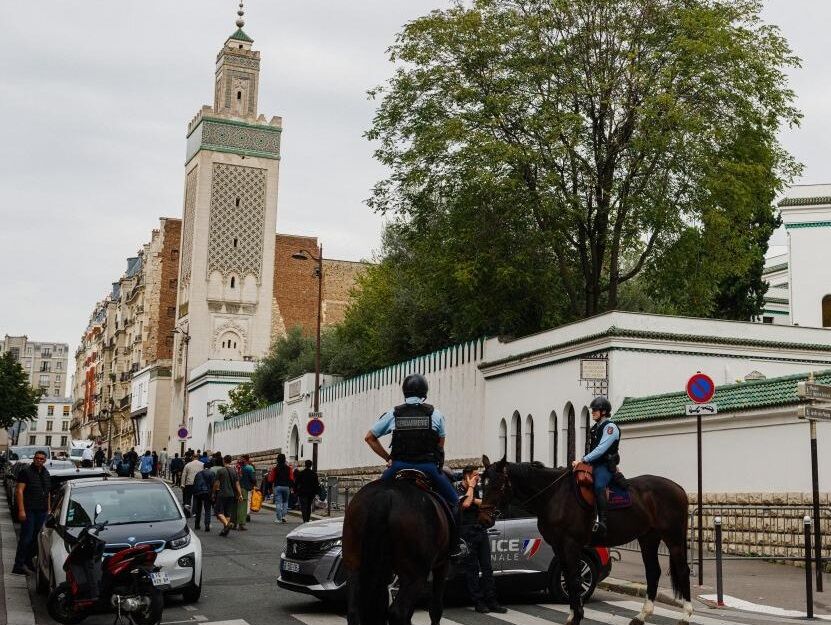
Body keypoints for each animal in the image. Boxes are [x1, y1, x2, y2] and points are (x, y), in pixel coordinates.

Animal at [342, 476, 452, 620]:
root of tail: (385, 495)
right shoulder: (442, 564)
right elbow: (435, 608)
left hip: (354, 563)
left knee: (355, 609)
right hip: (415, 574)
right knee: (398, 613)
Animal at [478, 454, 692, 624]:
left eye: (497, 485)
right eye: (483, 483)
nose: (484, 519)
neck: (554, 495)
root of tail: (678, 488)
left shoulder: (570, 544)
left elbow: (574, 578)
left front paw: (577, 616)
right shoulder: (558, 546)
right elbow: (569, 577)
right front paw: (574, 614)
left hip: (673, 539)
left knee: (682, 570)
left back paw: (686, 615)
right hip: (648, 538)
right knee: (653, 572)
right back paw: (642, 615)